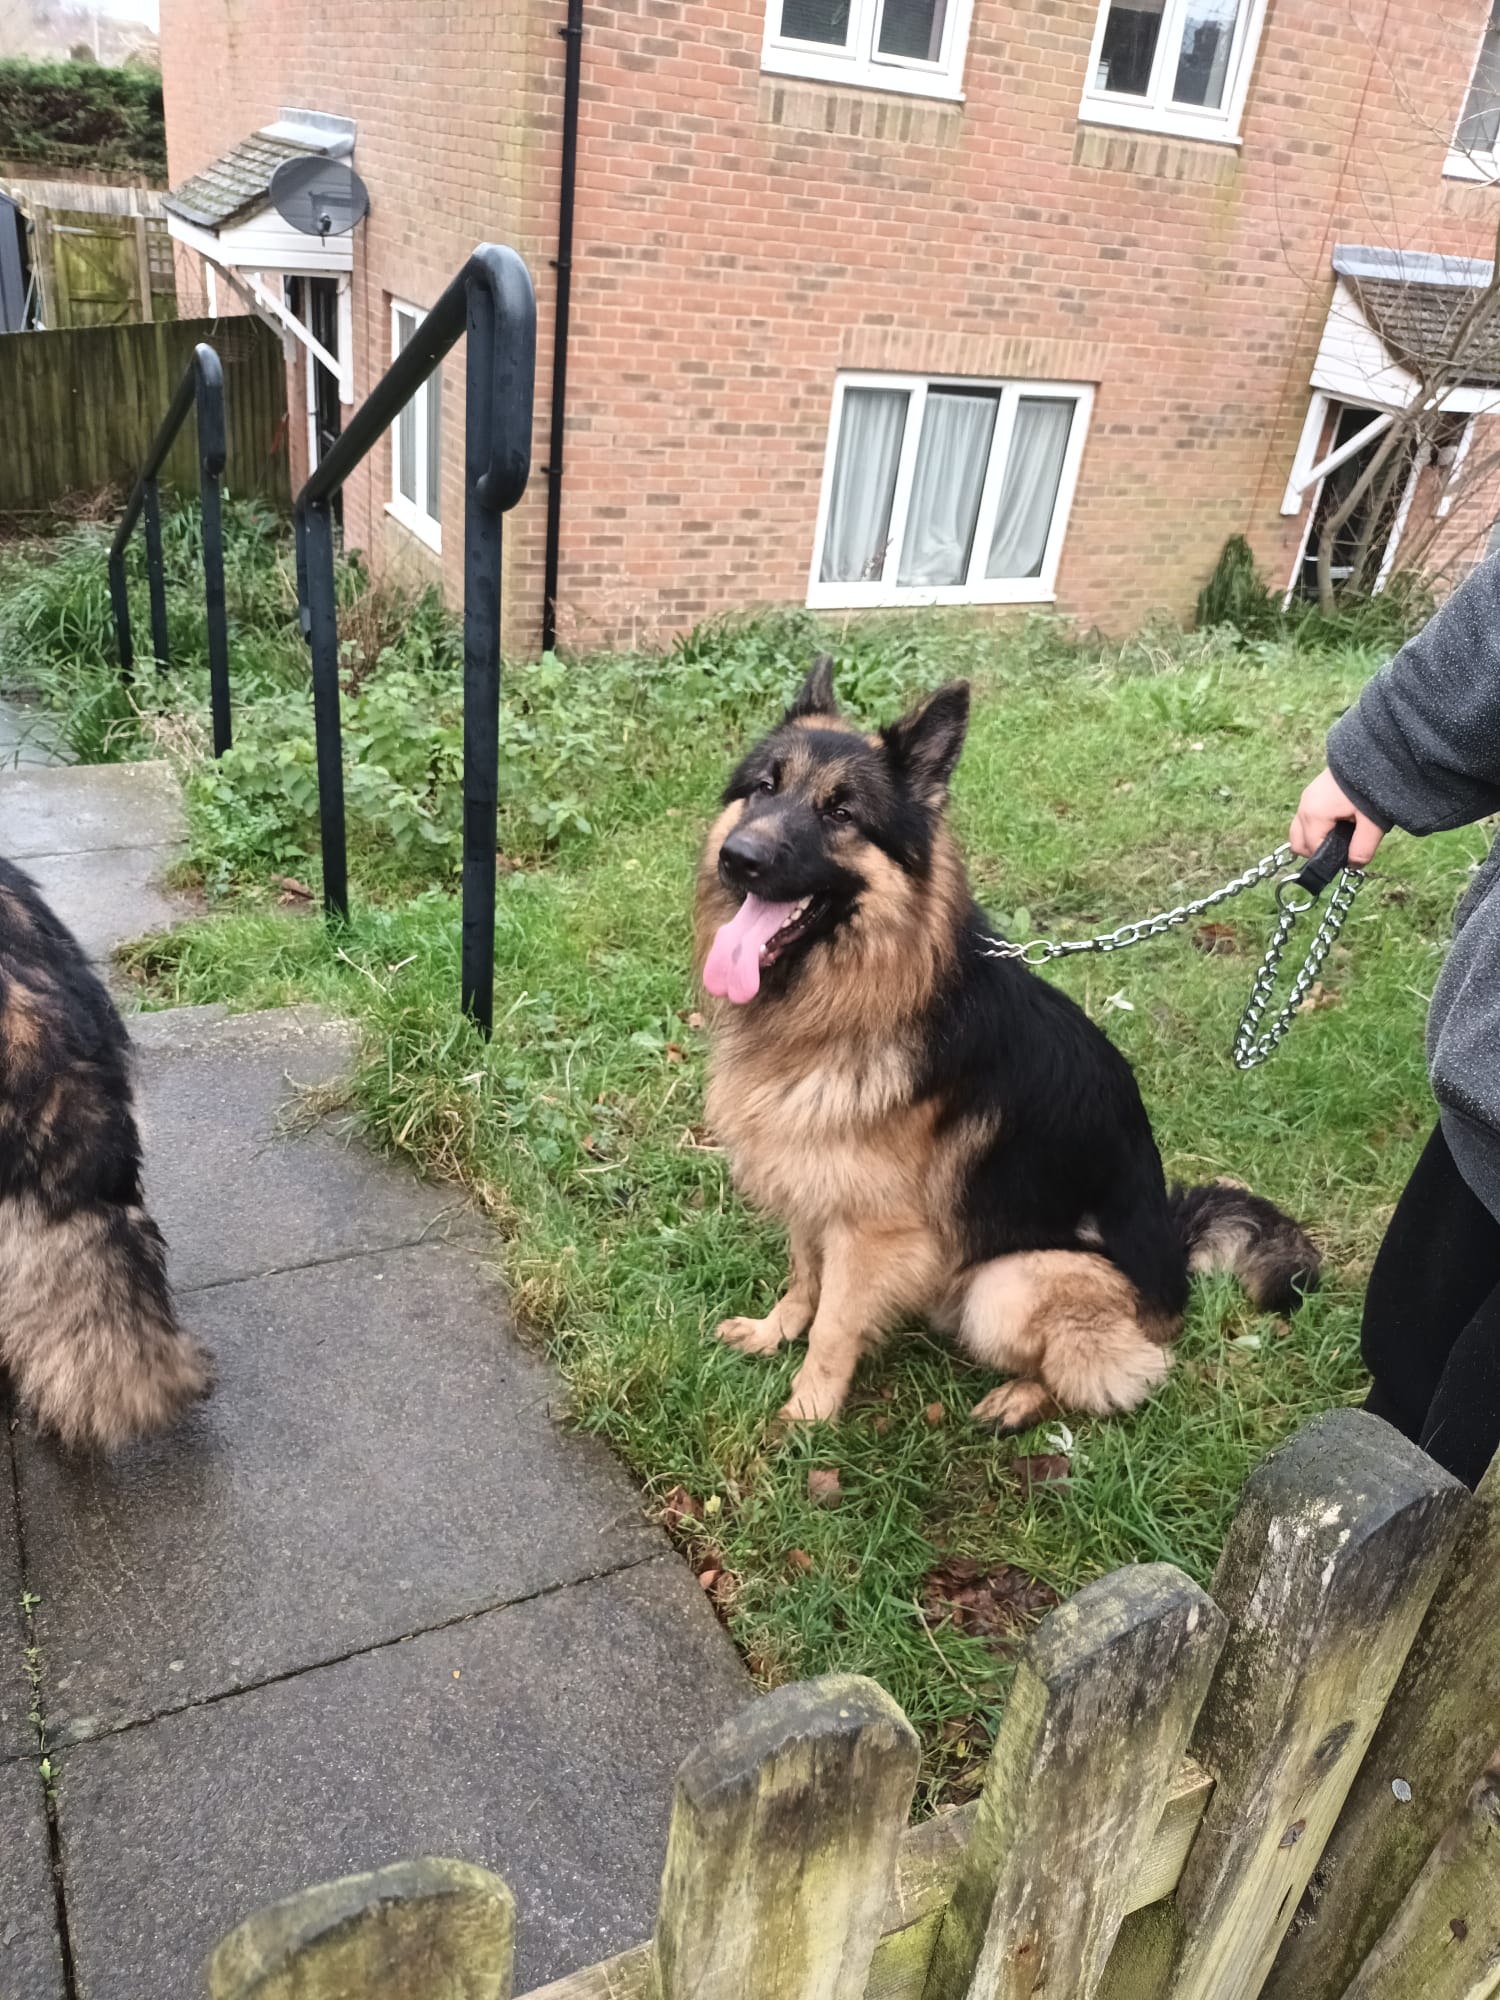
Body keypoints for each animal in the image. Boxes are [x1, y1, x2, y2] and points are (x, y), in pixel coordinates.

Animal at [700, 664, 1320, 1432]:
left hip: (1007, 1284)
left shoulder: (869, 1234)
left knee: (1122, 1371)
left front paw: (804, 1418)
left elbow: (834, 1329)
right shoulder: (809, 1189)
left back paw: (1021, 1400)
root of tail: (1175, 1266)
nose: (738, 859)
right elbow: (803, 1280)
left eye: (841, 813)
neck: (855, 999)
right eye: (764, 787)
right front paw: (772, 1333)